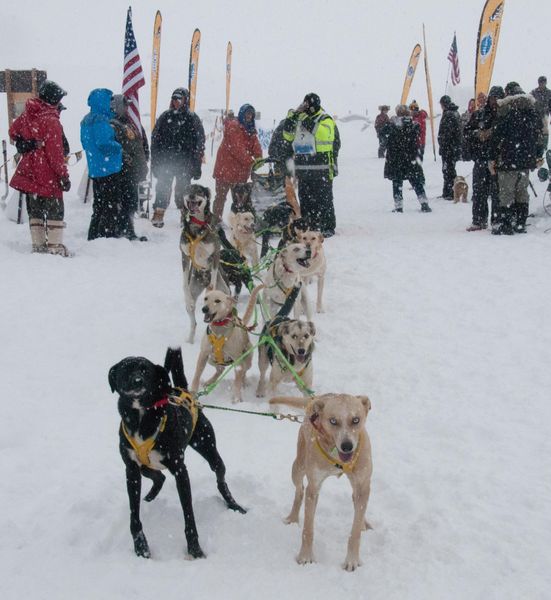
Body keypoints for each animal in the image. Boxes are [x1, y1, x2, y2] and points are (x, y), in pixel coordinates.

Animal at [108, 346, 246, 556]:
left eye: (145, 370)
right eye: (126, 370)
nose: (137, 381)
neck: (141, 417)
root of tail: (182, 391)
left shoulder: (180, 470)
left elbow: (188, 514)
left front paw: (195, 549)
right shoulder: (131, 470)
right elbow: (134, 516)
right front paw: (141, 547)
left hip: (209, 449)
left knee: (221, 480)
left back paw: (234, 505)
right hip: (143, 467)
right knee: (159, 476)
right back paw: (149, 497)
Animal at [270, 394, 374, 572]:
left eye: (356, 420)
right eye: (333, 421)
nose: (347, 446)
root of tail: (317, 398)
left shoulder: (363, 484)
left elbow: (355, 532)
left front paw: (352, 559)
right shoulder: (314, 488)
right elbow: (308, 529)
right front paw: (305, 556)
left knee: (356, 500)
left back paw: (363, 522)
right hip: (298, 467)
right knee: (299, 491)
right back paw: (293, 517)